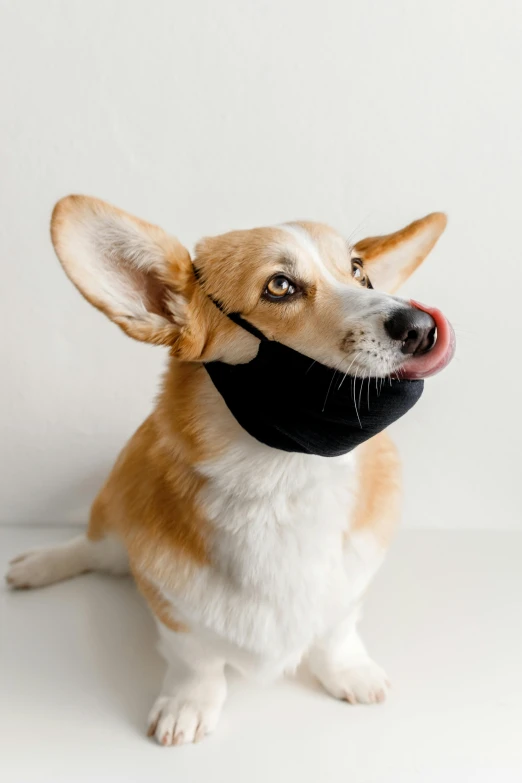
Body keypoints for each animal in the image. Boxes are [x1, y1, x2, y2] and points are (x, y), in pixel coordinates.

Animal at [5, 196, 450, 748]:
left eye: (358, 270)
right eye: (279, 286)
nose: (420, 325)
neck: (285, 478)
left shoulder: (350, 589)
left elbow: (336, 631)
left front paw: (350, 673)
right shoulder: (173, 612)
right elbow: (196, 661)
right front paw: (187, 705)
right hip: (114, 510)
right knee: (91, 547)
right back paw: (38, 565)